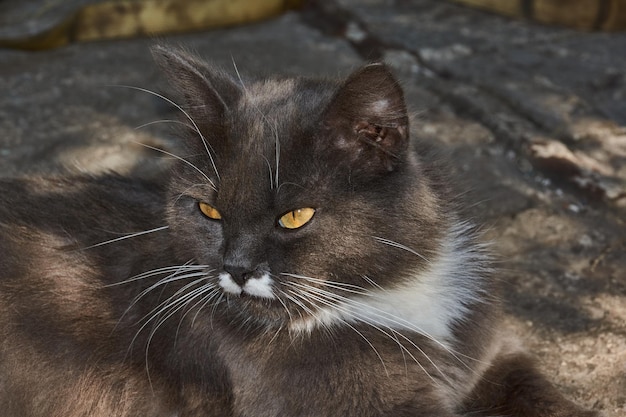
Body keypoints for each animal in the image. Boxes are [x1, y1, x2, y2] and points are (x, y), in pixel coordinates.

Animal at [0, 45, 596, 416]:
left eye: (294, 216)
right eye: (208, 210)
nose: (236, 268)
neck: (386, 295)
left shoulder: (491, 349)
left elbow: (537, 389)